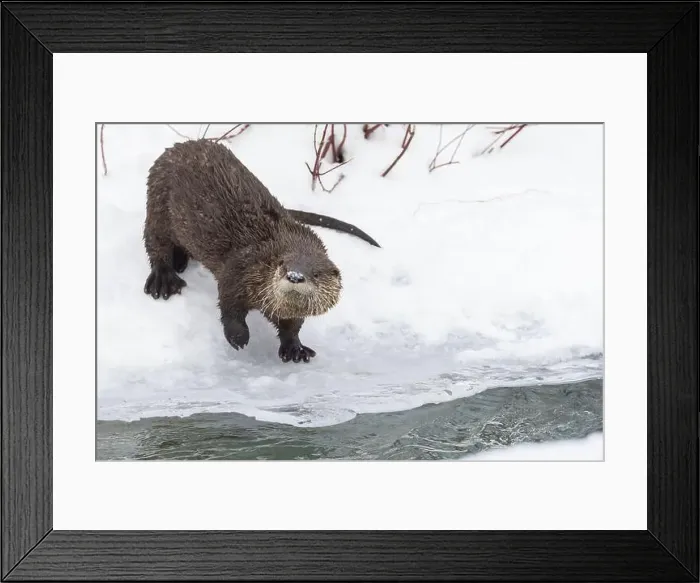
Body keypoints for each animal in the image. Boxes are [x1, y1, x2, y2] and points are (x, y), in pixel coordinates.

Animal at [142, 138, 379, 363]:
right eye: (284, 266)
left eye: (316, 273)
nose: (295, 276)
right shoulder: (239, 269)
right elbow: (229, 305)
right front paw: (238, 337)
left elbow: (292, 326)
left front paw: (295, 348)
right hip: (158, 202)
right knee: (155, 242)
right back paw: (164, 279)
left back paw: (180, 261)